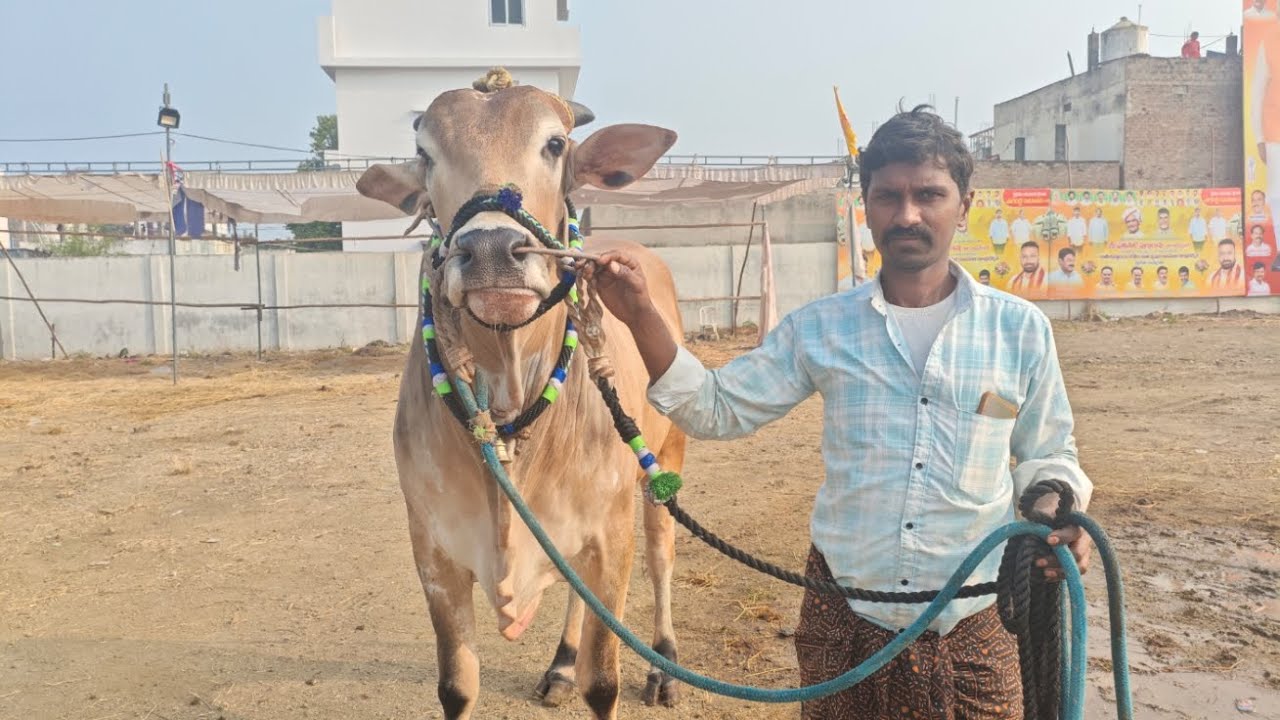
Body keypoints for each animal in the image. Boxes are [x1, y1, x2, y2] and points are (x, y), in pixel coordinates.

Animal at [354, 72, 687, 720]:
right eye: (425, 154)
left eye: (555, 144)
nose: (489, 251)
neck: (510, 396)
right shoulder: (434, 552)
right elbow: (457, 685)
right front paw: (561, 666)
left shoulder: (611, 539)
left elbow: (603, 682)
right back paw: (560, 663)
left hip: (666, 463)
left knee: (662, 558)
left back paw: (664, 663)